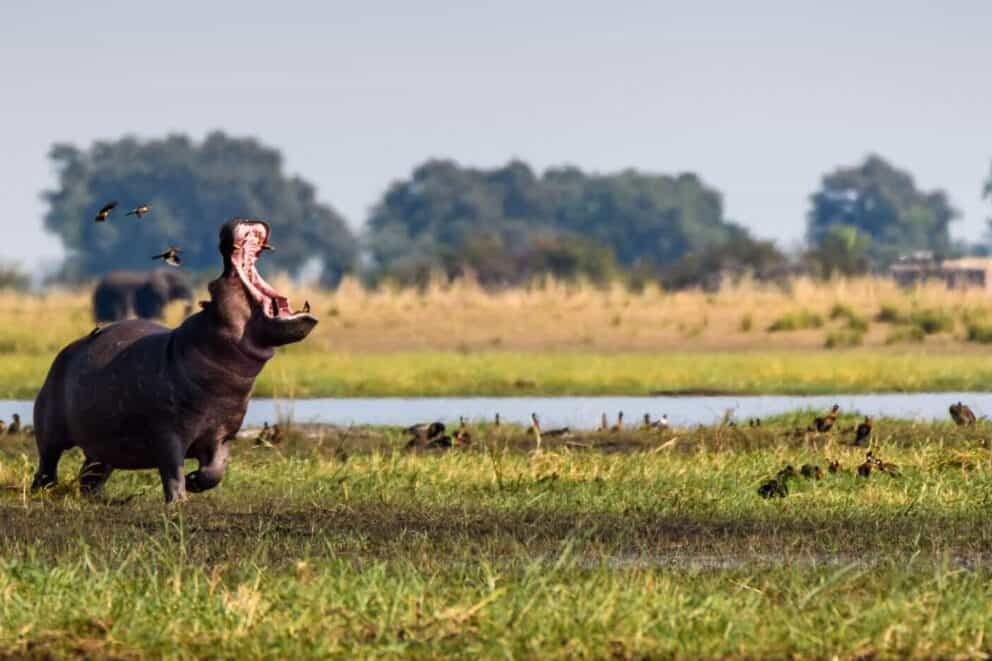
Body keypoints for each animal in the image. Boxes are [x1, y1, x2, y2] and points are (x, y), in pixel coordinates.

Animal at [32, 219, 317, 502]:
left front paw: (194, 481)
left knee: (92, 471)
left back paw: (96, 498)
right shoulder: (167, 434)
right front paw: (179, 500)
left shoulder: (223, 435)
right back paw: (43, 491)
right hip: (51, 428)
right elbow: (171, 470)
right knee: (47, 460)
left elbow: (216, 471)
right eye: (214, 287)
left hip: (103, 441)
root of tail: (65, 351)